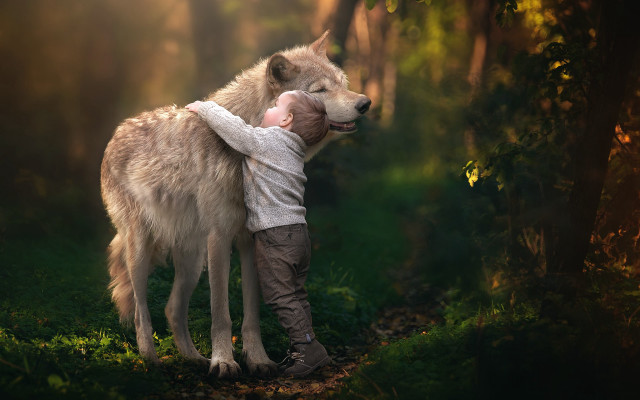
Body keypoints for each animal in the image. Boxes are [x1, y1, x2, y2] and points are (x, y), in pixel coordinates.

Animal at [100, 31, 370, 377]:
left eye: (341, 82)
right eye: (321, 90)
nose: (365, 103)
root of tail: (116, 133)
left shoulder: (250, 241)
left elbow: (251, 314)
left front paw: (257, 359)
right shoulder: (220, 237)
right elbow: (221, 313)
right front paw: (224, 362)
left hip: (192, 260)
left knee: (172, 308)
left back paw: (193, 359)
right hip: (141, 251)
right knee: (141, 309)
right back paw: (150, 359)